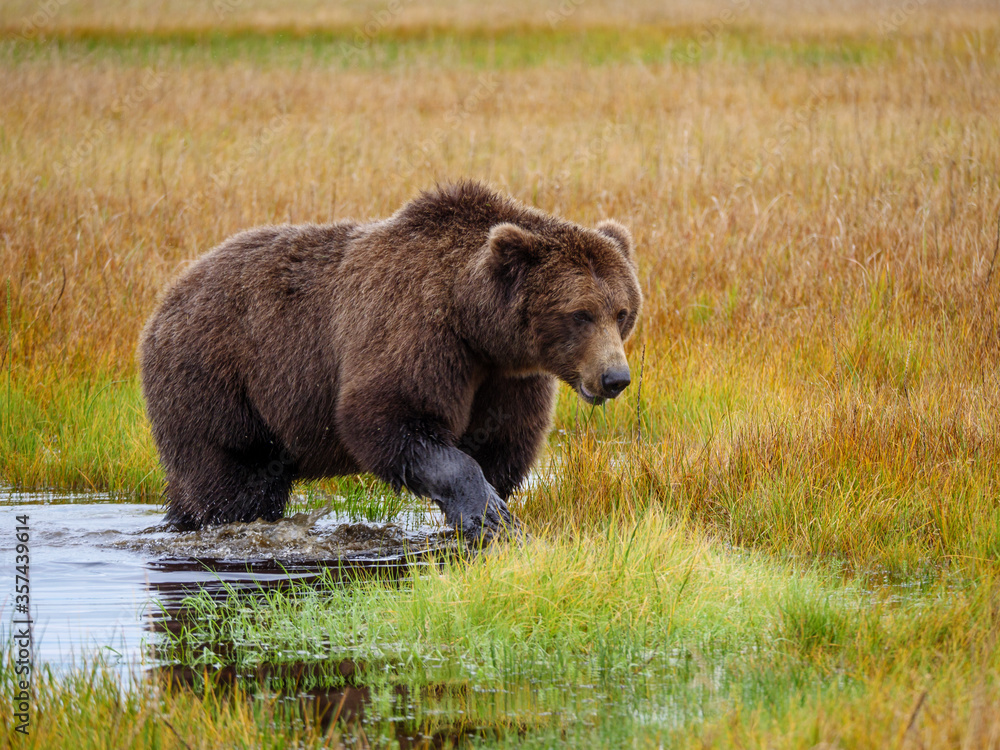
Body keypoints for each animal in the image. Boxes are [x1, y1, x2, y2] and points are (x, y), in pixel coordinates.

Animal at [139, 185, 640, 544]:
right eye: (580, 313)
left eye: (622, 311)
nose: (615, 377)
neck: (474, 323)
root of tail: (167, 297)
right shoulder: (415, 332)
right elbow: (389, 418)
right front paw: (491, 517)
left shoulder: (506, 378)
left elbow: (501, 443)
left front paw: (486, 511)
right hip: (219, 376)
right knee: (230, 480)